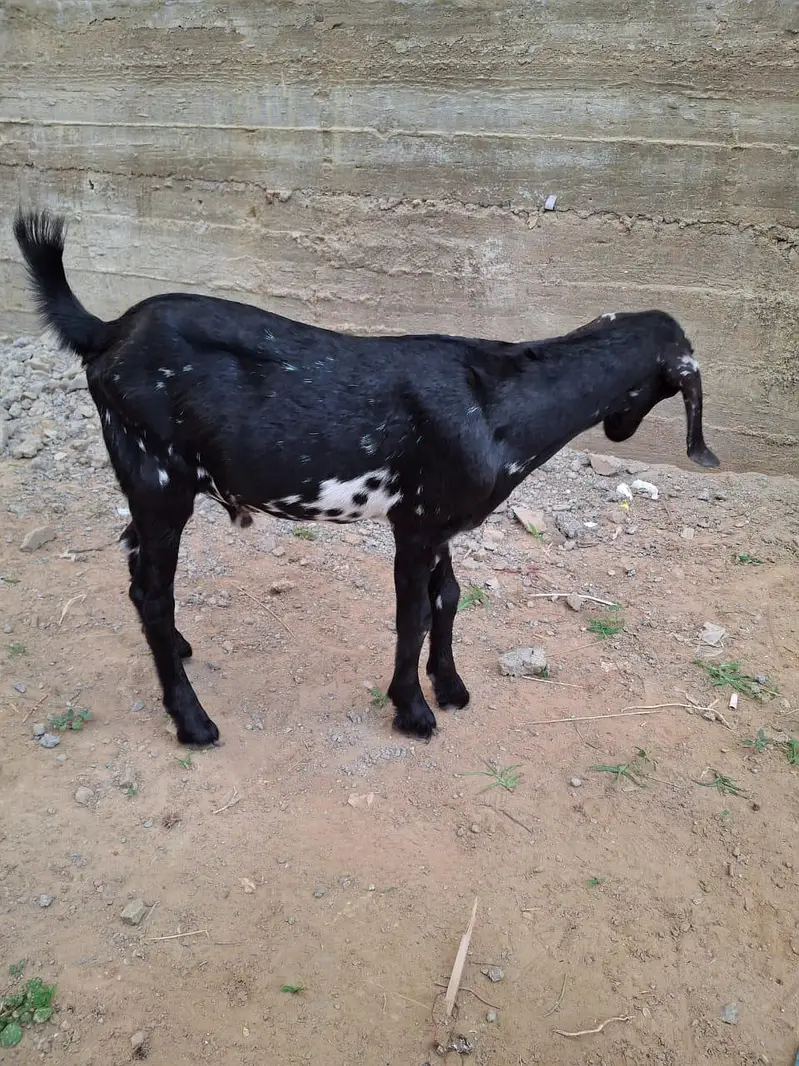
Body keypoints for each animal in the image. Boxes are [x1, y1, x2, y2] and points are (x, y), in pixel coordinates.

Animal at [14, 209, 719, 746]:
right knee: (151, 591)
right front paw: (413, 711)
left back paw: (182, 651)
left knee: (138, 569)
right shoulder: (417, 524)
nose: (621, 432)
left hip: (146, 484)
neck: (497, 403)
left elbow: (449, 597)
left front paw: (451, 686)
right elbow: (413, 614)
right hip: (157, 477)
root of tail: (107, 333)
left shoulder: (438, 522)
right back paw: (193, 722)